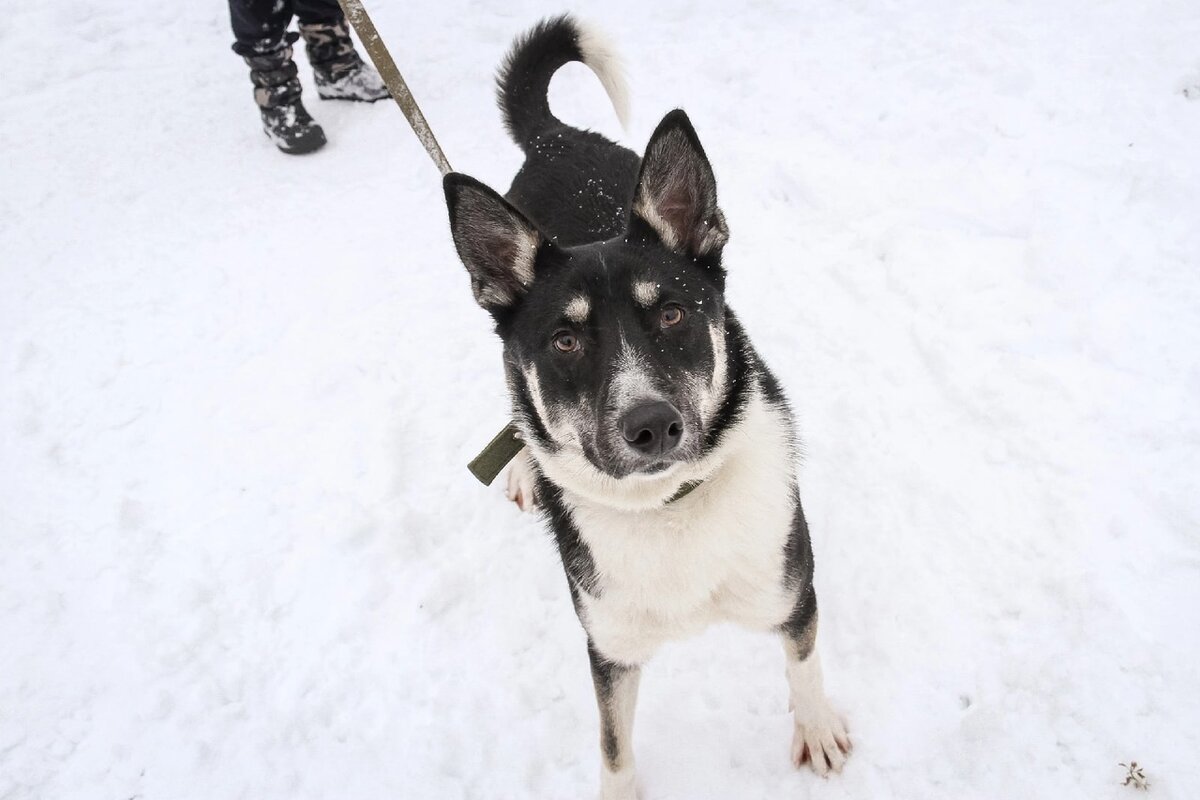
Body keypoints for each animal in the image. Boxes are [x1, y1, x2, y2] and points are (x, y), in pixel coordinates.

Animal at [442, 15, 851, 798]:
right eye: (566, 339)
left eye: (670, 314)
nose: (652, 425)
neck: (669, 507)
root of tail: (557, 138)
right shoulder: (607, 644)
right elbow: (613, 741)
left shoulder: (793, 589)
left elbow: (805, 663)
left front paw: (817, 728)